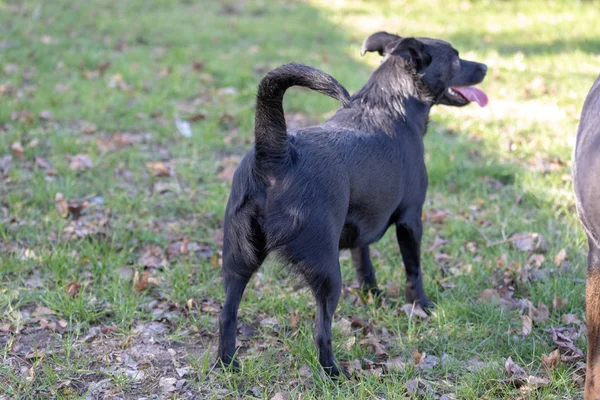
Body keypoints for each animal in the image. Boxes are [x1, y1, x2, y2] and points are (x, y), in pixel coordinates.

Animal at [218, 31, 486, 376]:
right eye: (455, 59)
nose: (485, 66)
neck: (390, 103)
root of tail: (276, 154)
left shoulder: (361, 228)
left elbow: (365, 266)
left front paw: (374, 298)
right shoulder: (411, 220)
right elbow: (413, 269)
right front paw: (421, 307)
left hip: (238, 260)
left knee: (226, 315)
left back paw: (227, 364)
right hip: (326, 270)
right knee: (321, 330)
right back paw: (334, 373)